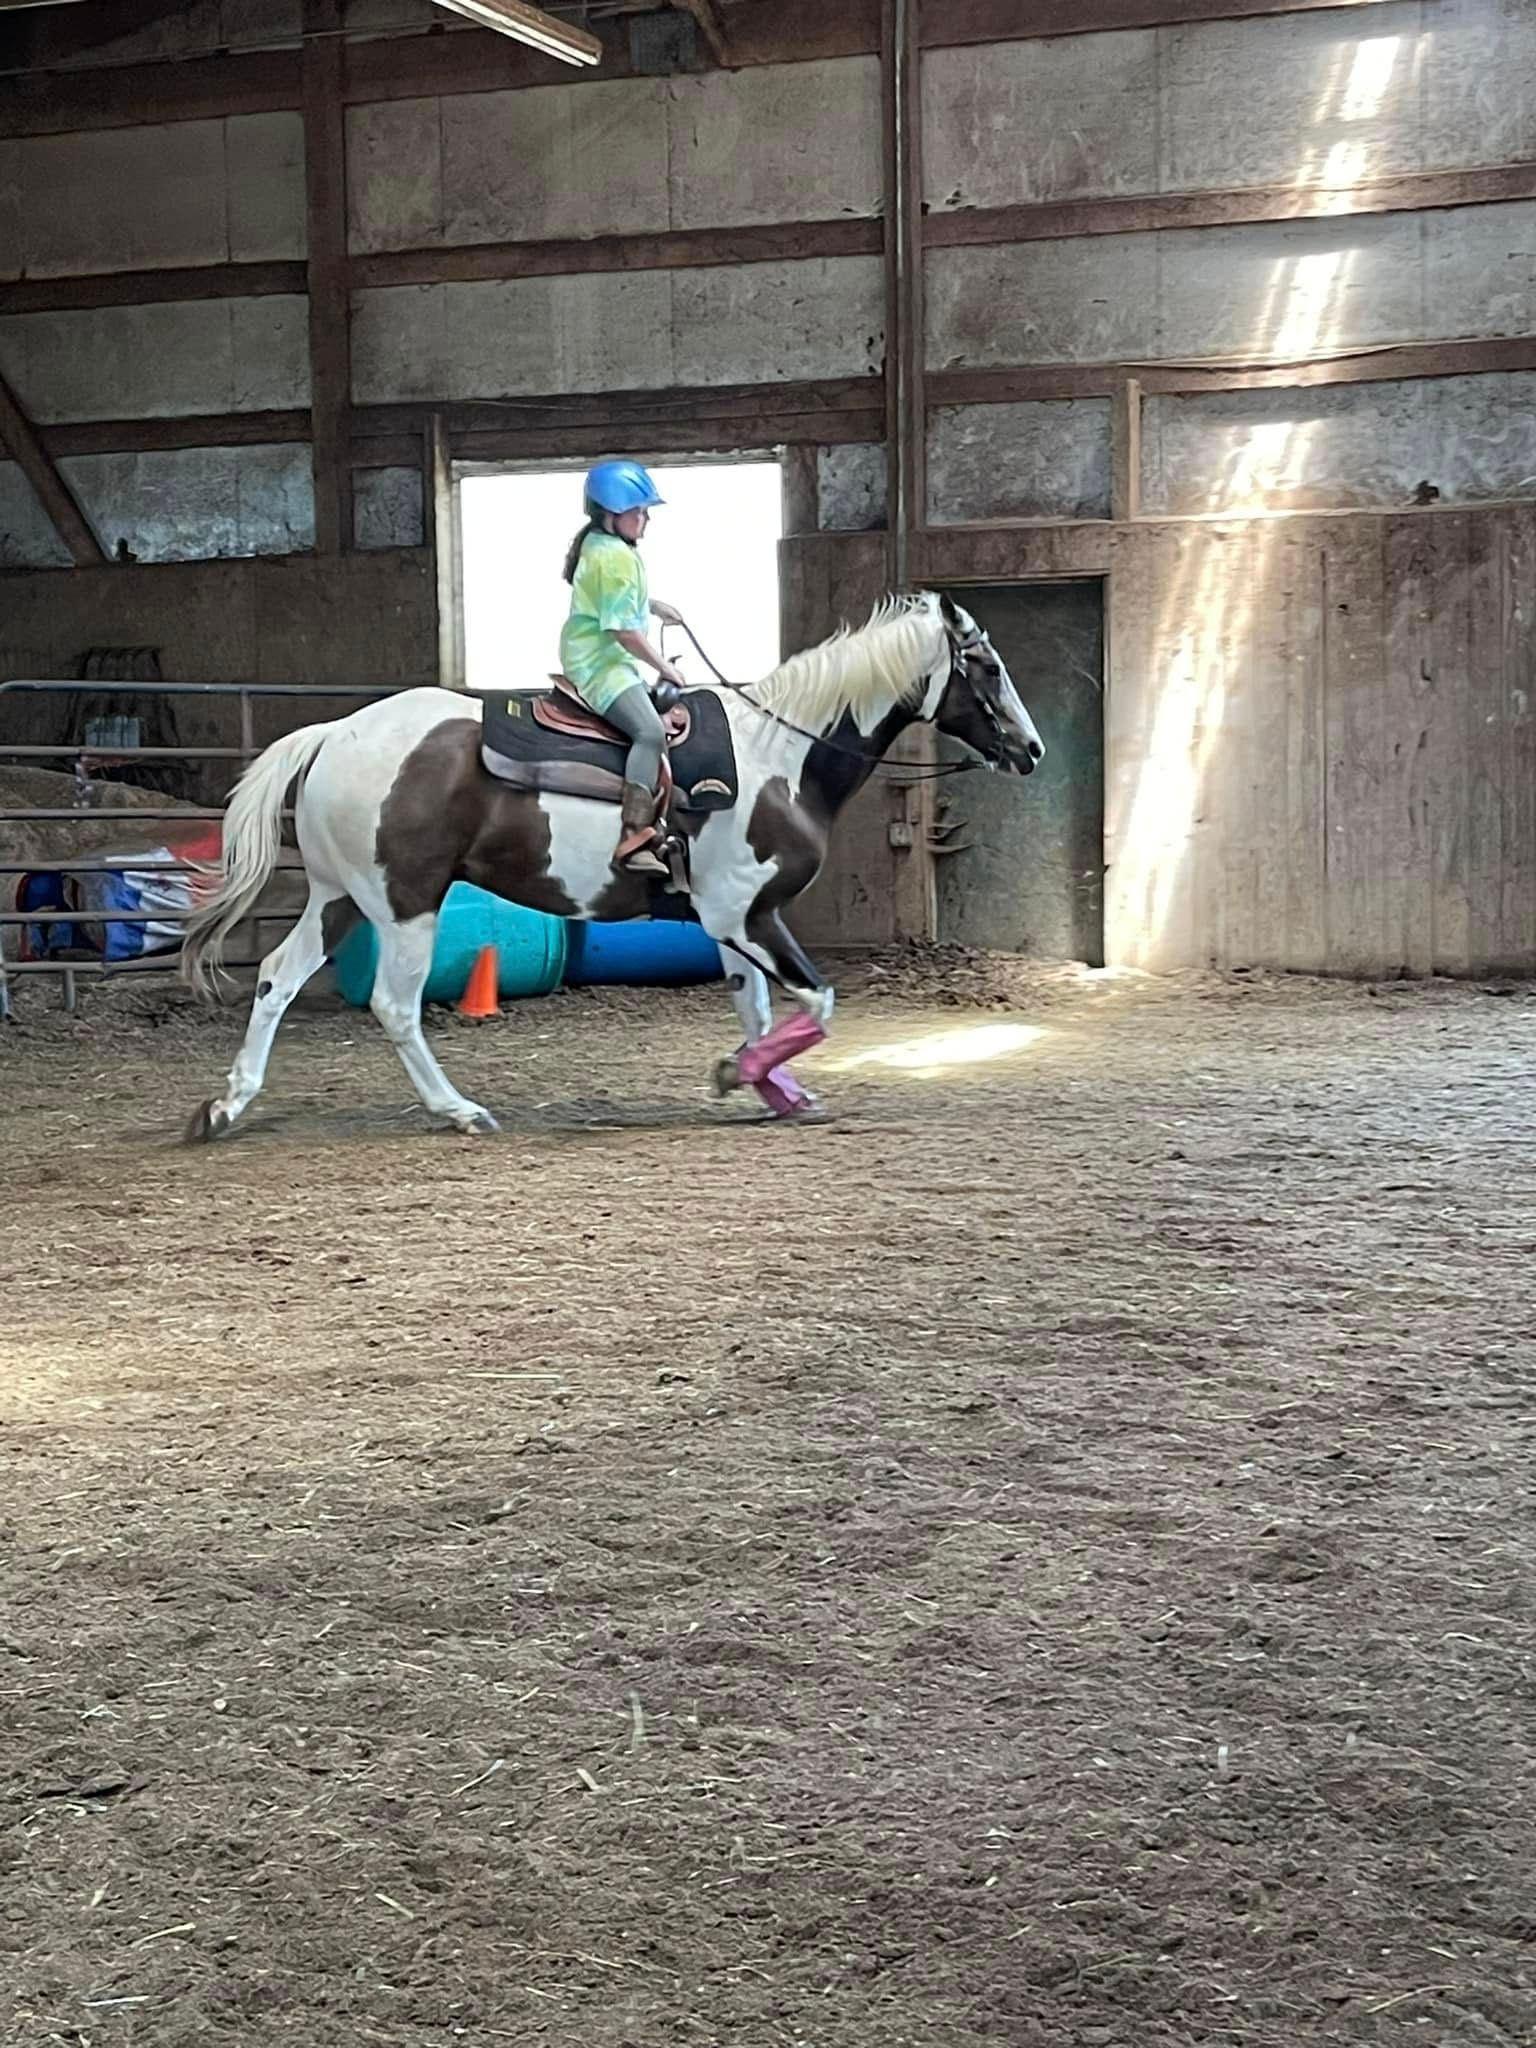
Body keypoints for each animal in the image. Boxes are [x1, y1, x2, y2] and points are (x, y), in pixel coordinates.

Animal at [180, 590, 1043, 1139]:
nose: (1031, 749)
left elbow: (761, 1009)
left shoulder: (732, 925)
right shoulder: (742, 913)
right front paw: (742, 1075)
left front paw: (774, 1089)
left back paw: (226, 1107)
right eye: (988, 667)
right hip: (404, 904)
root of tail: (333, 732)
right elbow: (817, 1002)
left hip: (339, 898)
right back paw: (459, 1110)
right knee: (395, 1005)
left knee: (276, 979)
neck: (780, 756)